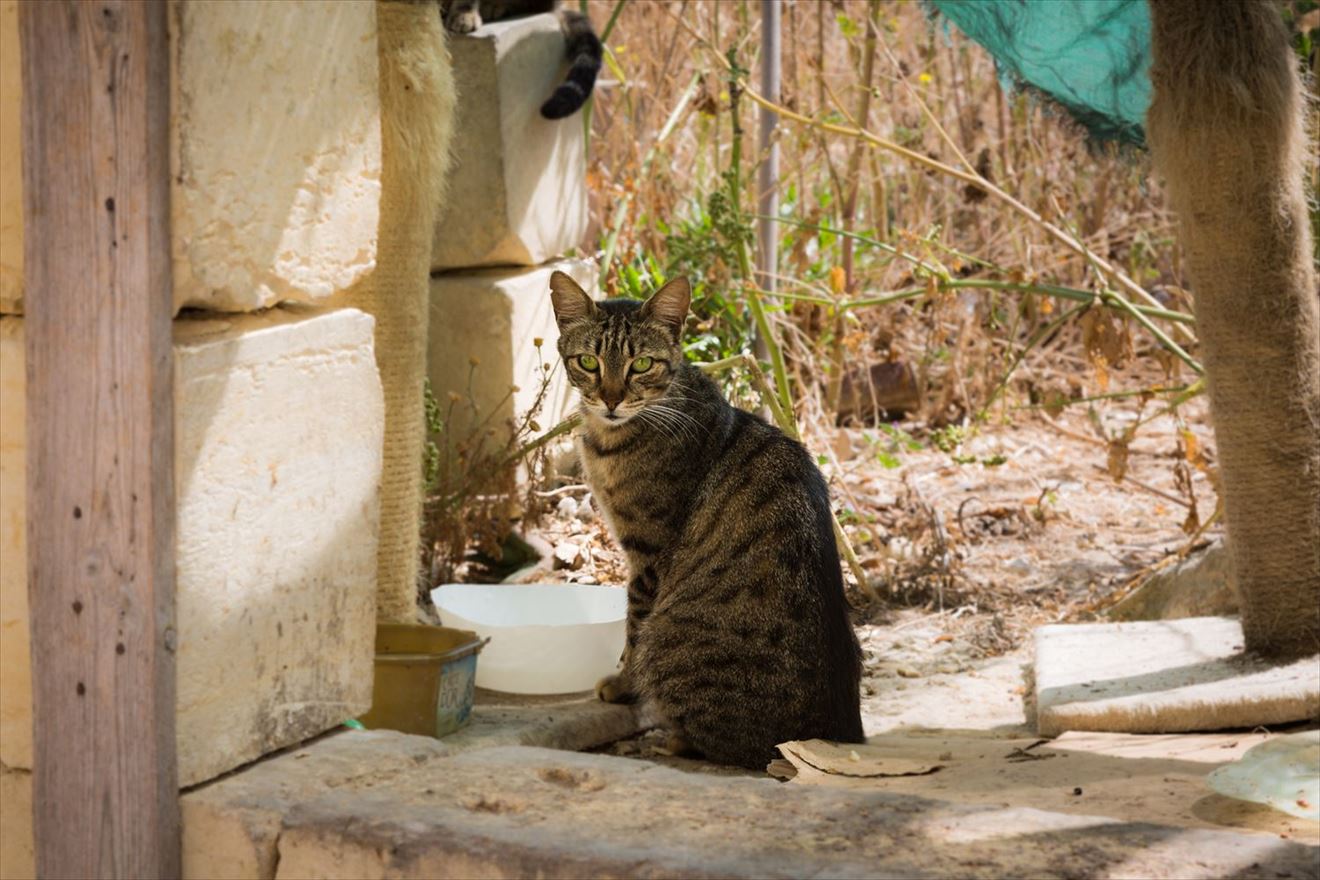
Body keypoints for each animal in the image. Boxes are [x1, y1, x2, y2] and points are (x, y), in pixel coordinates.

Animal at [549, 271, 865, 765]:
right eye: (588, 361)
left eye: (642, 364)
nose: (611, 400)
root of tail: (836, 731)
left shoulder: (649, 554)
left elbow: (633, 627)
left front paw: (623, 684)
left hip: (668, 637)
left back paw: (672, 740)